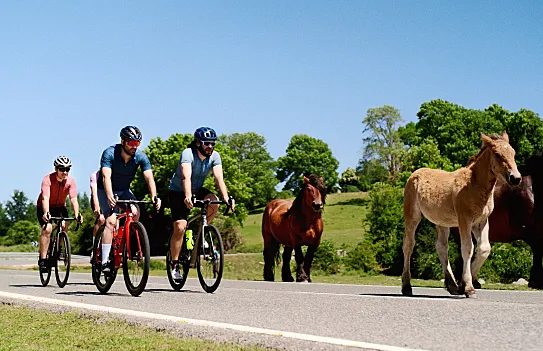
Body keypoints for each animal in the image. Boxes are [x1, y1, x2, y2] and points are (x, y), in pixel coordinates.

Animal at [404, 131, 524, 298]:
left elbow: (484, 248)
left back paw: (452, 285)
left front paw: (463, 283)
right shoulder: (464, 220)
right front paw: (468, 287)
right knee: (408, 245)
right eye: (497, 154)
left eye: (513, 153)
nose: (516, 178)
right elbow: (467, 248)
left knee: (441, 246)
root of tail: (414, 173)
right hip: (412, 216)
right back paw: (406, 287)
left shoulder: (481, 221)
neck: (475, 185)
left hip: (442, 221)